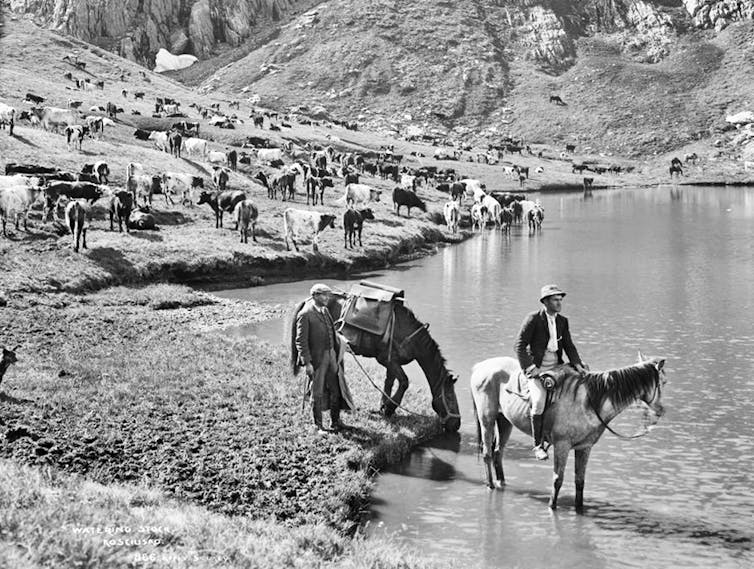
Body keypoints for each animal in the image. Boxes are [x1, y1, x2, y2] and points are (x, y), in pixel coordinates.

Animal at [290, 292, 462, 430]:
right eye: (450, 398)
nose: (457, 424)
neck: (408, 335)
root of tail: (309, 301)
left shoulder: (391, 362)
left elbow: (389, 382)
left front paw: (383, 407)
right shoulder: (388, 360)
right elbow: (404, 382)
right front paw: (390, 408)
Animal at [468, 352, 668, 508]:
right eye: (664, 382)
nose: (661, 411)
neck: (589, 402)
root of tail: (479, 366)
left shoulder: (584, 447)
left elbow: (580, 481)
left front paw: (579, 509)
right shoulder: (562, 446)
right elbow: (558, 479)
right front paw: (552, 506)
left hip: (505, 421)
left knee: (497, 452)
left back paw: (501, 482)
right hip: (487, 419)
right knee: (487, 453)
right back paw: (490, 485)